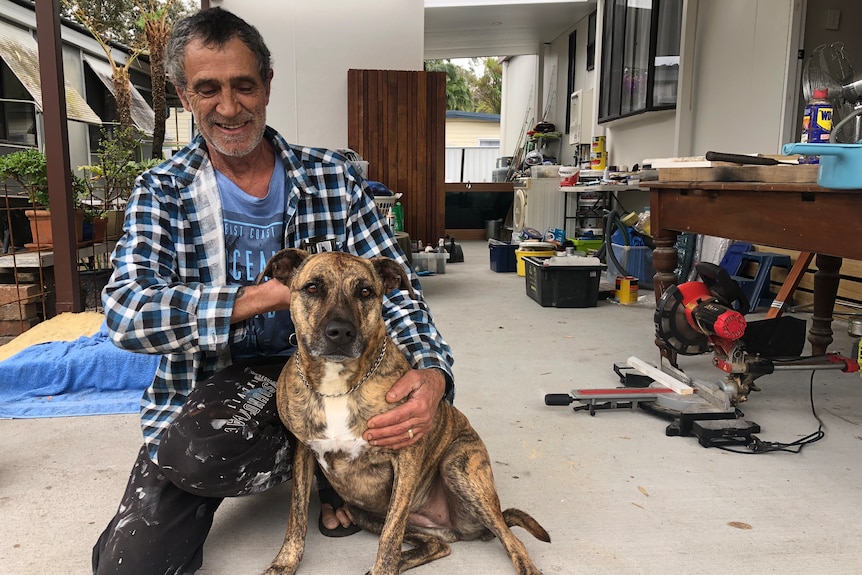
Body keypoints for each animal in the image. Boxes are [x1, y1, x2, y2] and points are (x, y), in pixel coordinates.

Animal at [260, 249, 552, 575]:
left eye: (365, 292)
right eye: (312, 288)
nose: (340, 332)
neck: (338, 385)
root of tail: (460, 528)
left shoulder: (406, 454)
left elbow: (390, 535)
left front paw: (384, 569)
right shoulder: (303, 451)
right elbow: (296, 515)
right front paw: (284, 562)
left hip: (459, 466)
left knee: (511, 538)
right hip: (362, 511)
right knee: (437, 544)